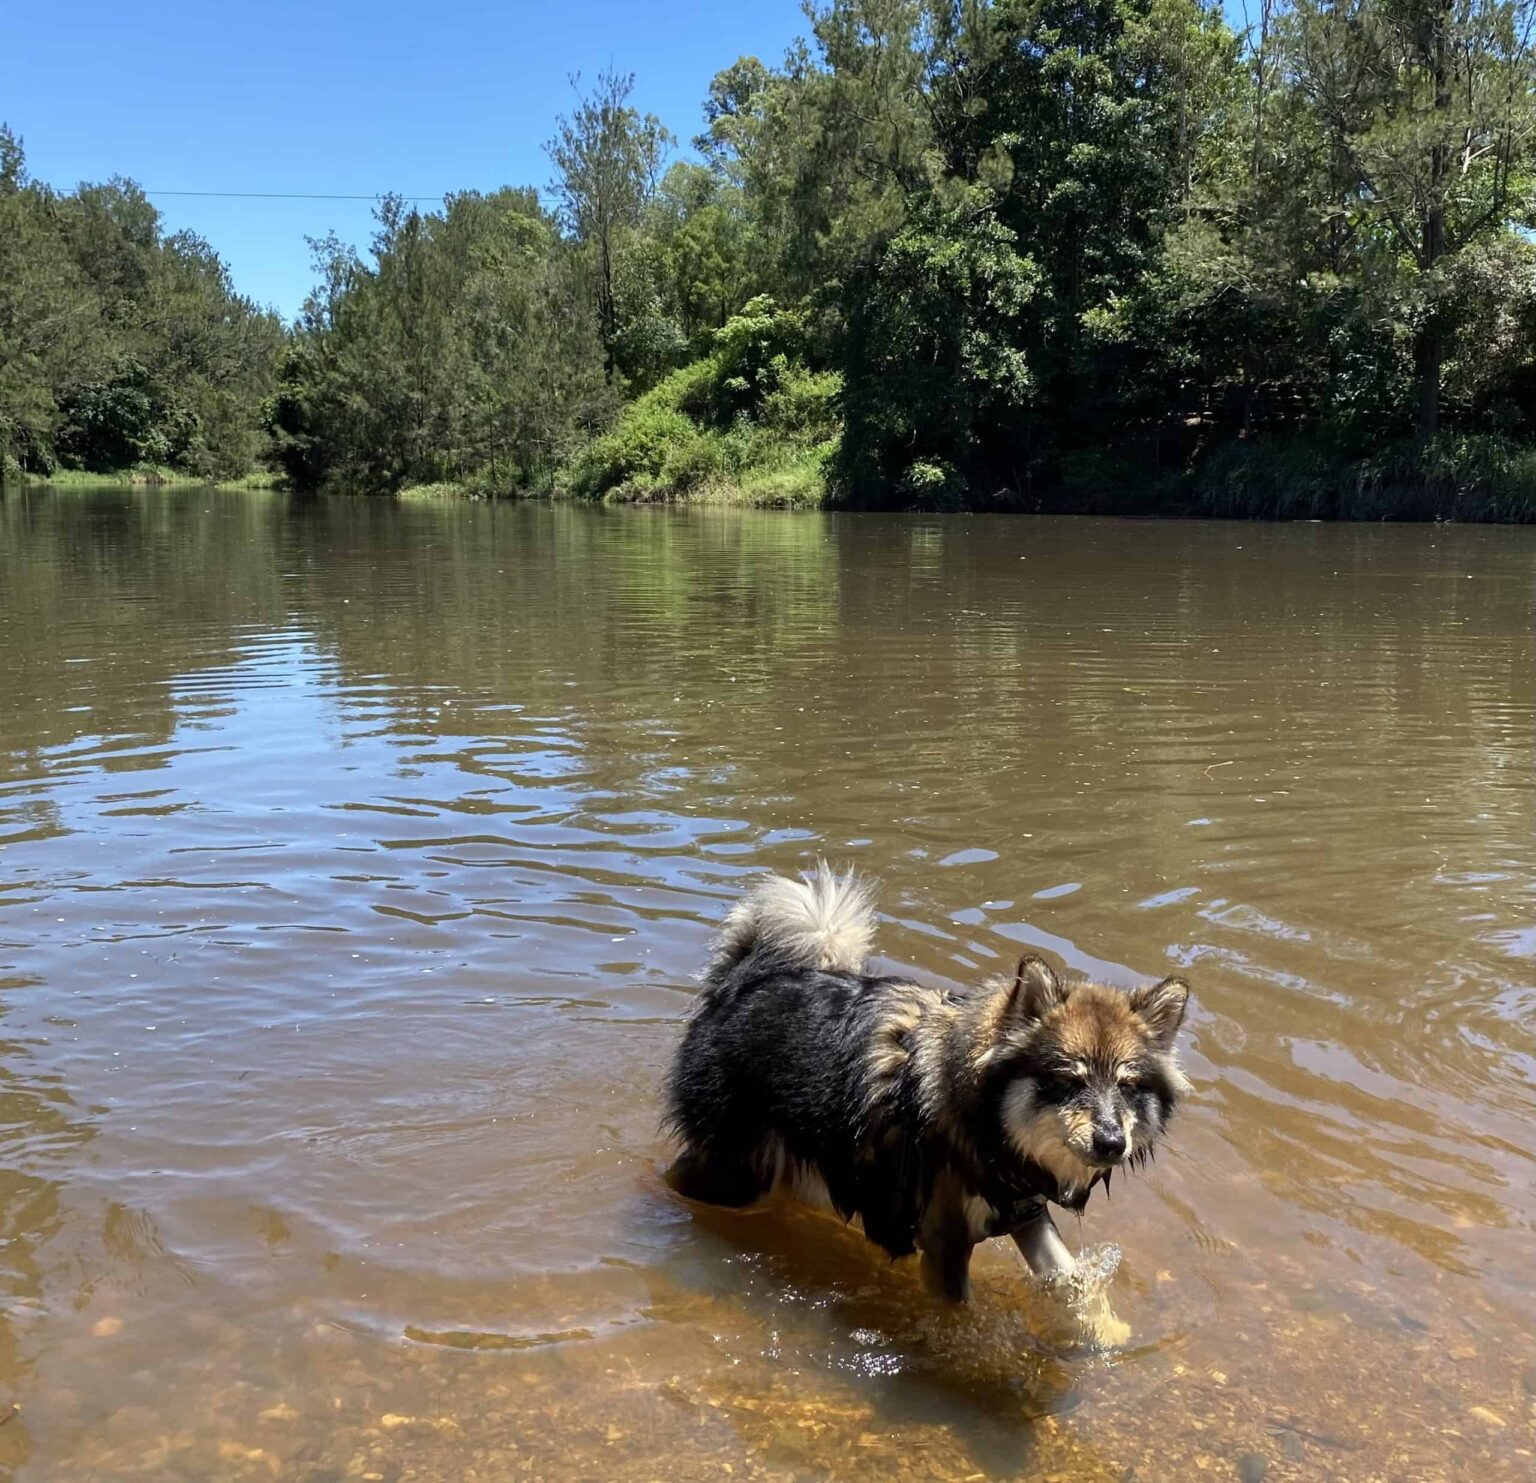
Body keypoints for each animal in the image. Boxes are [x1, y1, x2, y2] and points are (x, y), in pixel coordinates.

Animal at [660, 860, 1185, 1327]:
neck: (982, 1115)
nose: (1112, 1144)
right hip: (735, 1170)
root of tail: (743, 982)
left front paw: (1106, 1335)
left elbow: (1070, 1278)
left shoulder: (1024, 1209)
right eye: (1067, 1081)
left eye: (1129, 1086)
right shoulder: (945, 1236)